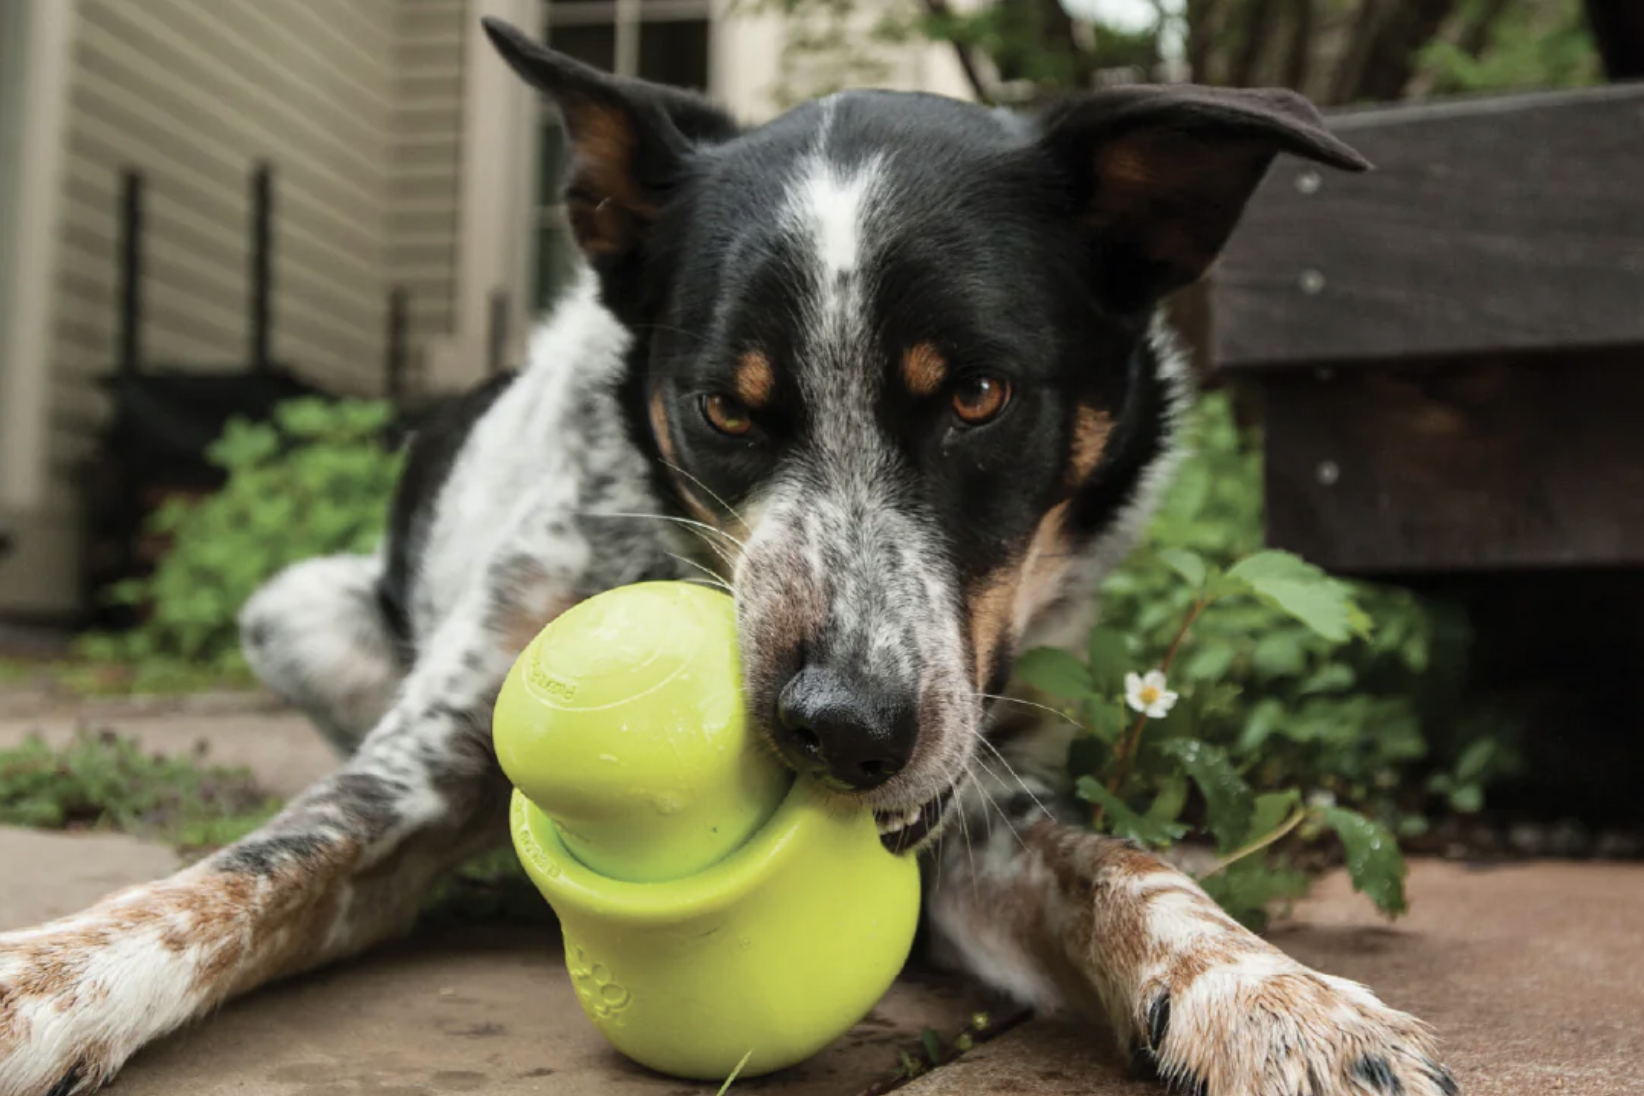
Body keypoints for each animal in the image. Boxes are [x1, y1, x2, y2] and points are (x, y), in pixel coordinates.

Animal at [3, 19, 1466, 1096]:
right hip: (297, 612)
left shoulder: (967, 802)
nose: (840, 730)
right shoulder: (417, 766)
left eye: (980, 394)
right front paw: (35, 988)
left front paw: (1276, 997)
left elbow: (1120, 865)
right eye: (722, 406)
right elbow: (232, 879)